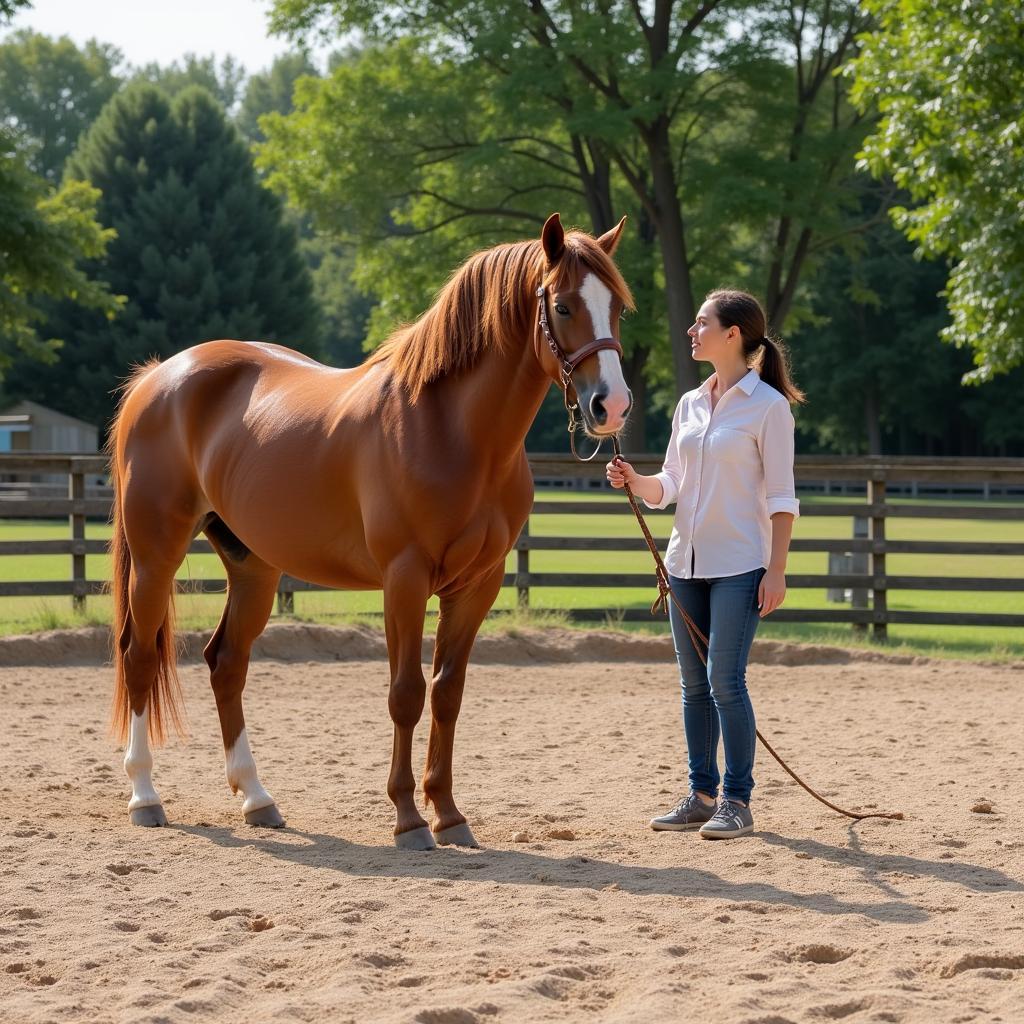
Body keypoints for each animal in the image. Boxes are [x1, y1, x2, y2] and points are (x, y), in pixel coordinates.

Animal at [110, 214, 630, 847]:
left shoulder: (477, 585)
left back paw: (258, 799)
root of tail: (157, 377)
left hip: (253, 566)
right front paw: (409, 819)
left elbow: (448, 694)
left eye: (618, 308)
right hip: (156, 556)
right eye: (560, 305)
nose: (612, 406)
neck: (454, 431)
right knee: (139, 656)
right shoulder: (403, 580)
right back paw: (145, 796)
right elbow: (406, 694)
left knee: (227, 663)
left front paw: (449, 814)